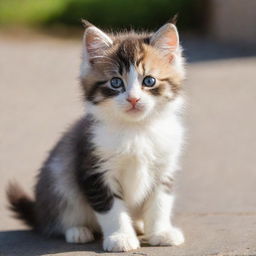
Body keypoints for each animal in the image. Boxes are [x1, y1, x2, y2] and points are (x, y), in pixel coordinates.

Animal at [6, 20, 186, 252]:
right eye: (116, 83)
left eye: (149, 81)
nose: (133, 99)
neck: (136, 130)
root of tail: (39, 213)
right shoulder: (94, 168)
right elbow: (111, 208)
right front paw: (120, 237)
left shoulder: (164, 167)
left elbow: (160, 203)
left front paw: (161, 232)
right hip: (58, 178)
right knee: (60, 217)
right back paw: (78, 230)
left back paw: (138, 225)